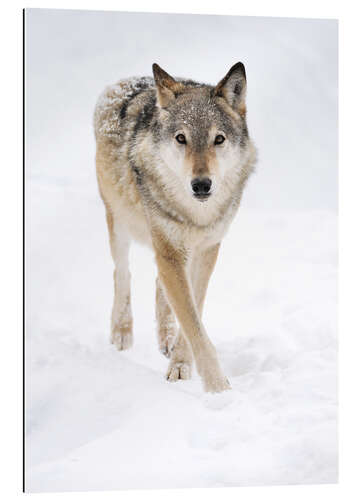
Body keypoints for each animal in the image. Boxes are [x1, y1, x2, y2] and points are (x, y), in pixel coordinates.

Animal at [94, 61, 256, 390]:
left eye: (219, 139)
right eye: (181, 138)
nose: (202, 185)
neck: (196, 215)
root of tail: (125, 81)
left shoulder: (207, 249)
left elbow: (194, 311)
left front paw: (181, 362)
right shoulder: (169, 250)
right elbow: (192, 322)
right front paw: (218, 388)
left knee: (159, 283)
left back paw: (165, 339)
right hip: (119, 221)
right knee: (122, 272)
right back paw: (121, 332)